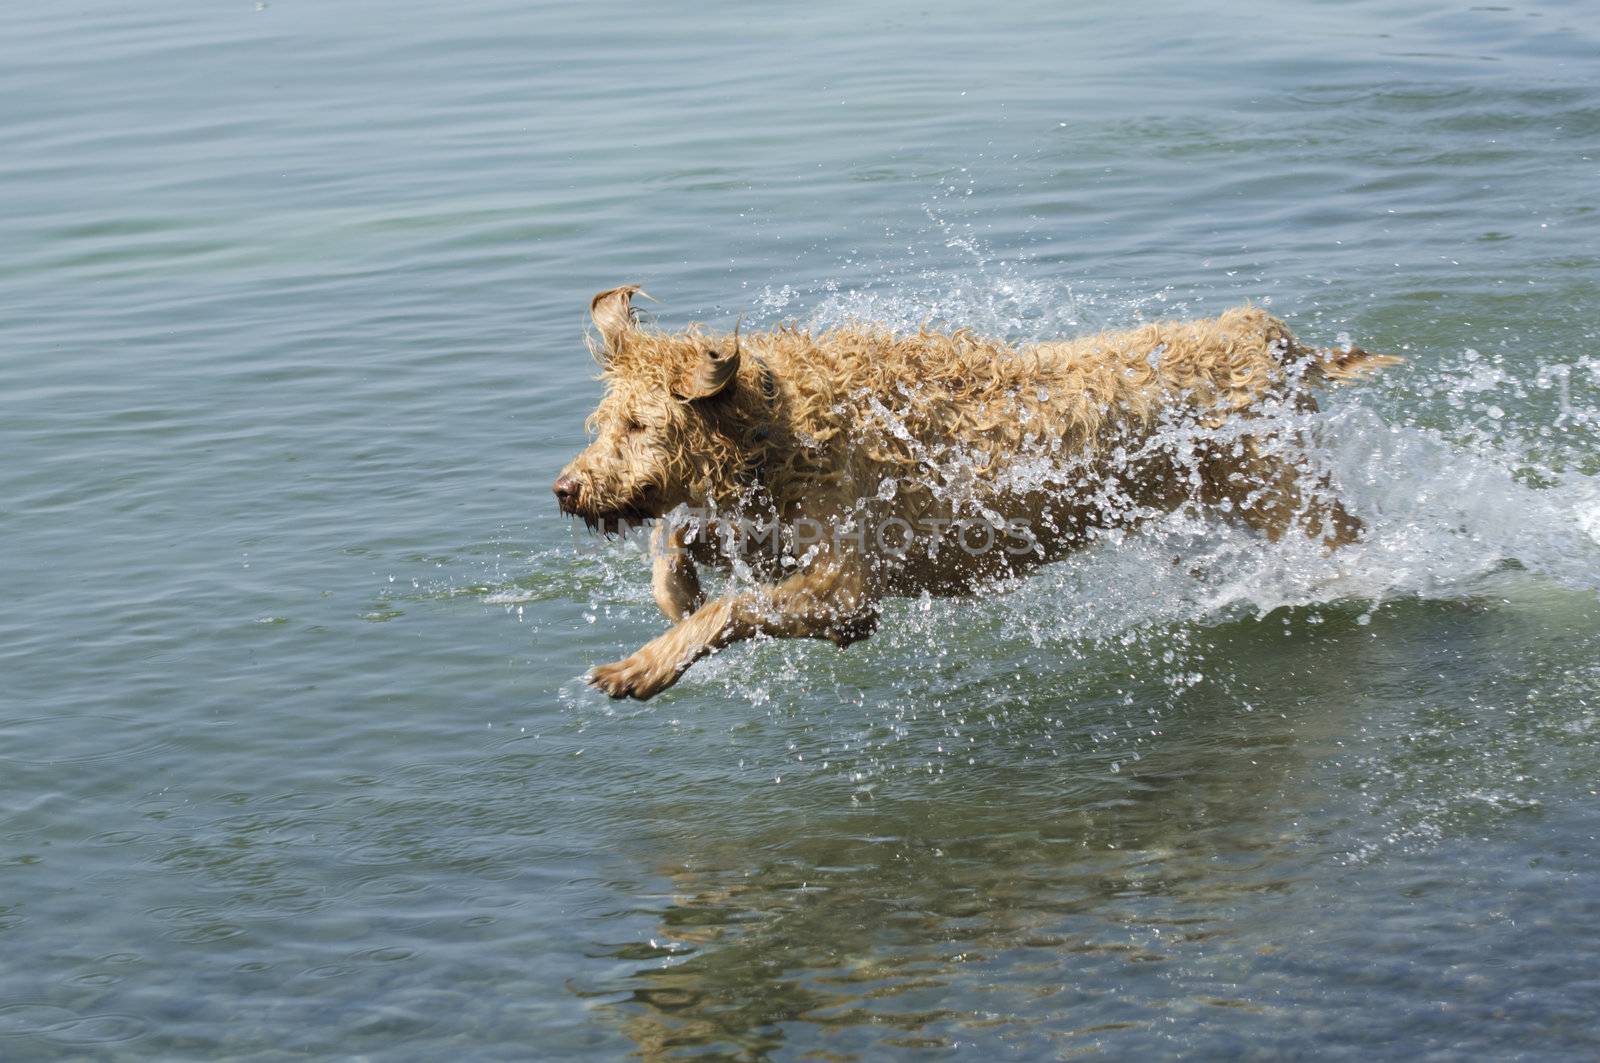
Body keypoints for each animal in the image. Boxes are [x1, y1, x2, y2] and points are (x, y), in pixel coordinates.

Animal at [553, 284, 1401, 697]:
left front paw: (644, 665)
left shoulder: (847, 585)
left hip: (1283, 493)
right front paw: (675, 591)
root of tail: (1266, 337)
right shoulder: (770, 529)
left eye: (638, 423)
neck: (786, 426)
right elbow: (677, 537)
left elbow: (730, 608)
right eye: (605, 421)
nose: (565, 488)